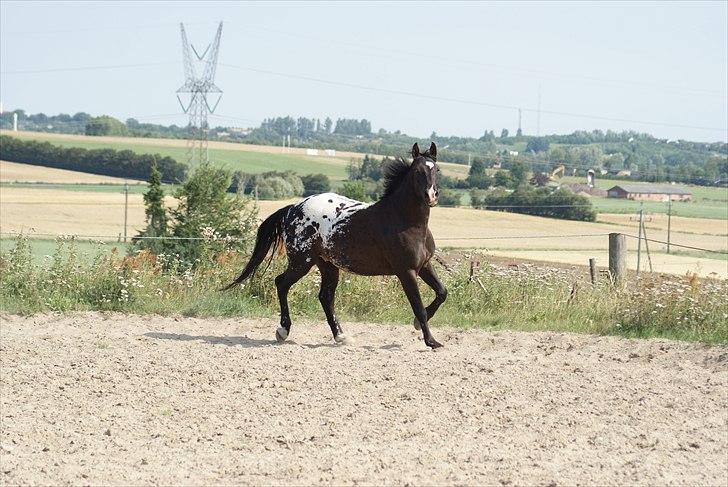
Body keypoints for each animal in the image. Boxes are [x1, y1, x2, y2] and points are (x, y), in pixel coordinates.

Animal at [225, 143, 446, 348]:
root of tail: (292, 208)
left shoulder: (424, 265)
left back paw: (341, 336)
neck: (404, 221)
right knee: (282, 284)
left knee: (325, 296)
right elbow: (418, 307)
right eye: (417, 171)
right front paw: (432, 341)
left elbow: (442, 293)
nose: (431, 196)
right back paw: (283, 331)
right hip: (301, 262)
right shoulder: (406, 272)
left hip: (327, 265)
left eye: (436, 169)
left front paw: (418, 325)